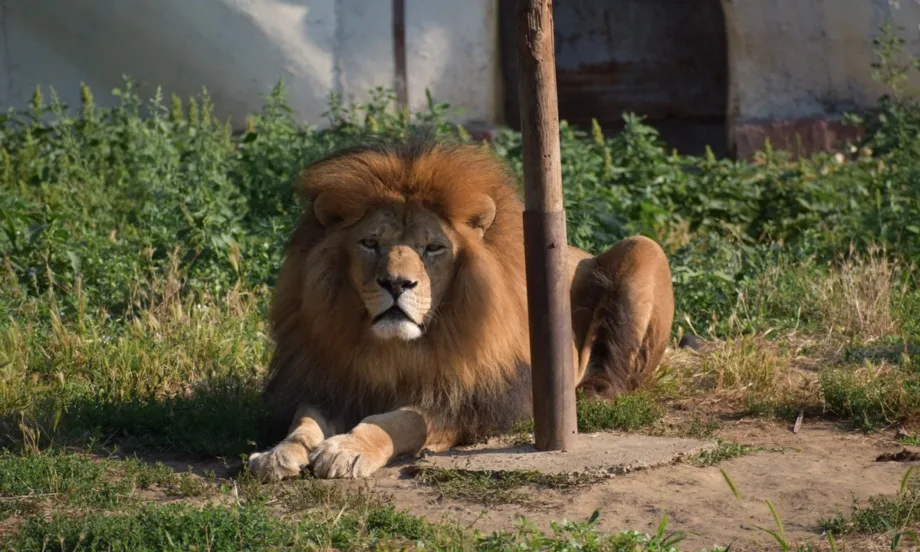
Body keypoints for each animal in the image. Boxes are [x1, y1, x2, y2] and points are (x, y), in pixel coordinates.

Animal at [248, 134, 672, 478]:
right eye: (370, 243)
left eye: (433, 247)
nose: (396, 283)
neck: (393, 351)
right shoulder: (327, 384)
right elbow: (304, 420)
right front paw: (277, 453)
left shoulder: (470, 404)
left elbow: (400, 420)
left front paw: (348, 449)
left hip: (644, 248)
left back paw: (592, 394)